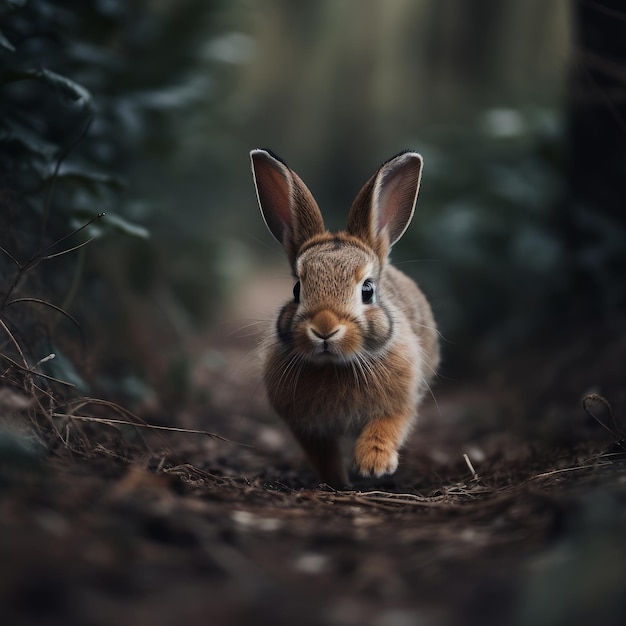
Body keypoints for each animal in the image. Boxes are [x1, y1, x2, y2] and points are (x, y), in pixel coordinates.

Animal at [250, 149, 438, 486]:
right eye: (297, 289)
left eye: (368, 290)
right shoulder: (308, 427)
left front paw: (374, 465)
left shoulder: (402, 402)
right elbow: (324, 455)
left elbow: (387, 426)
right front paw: (338, 483)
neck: (334, 366)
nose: (325, 327)